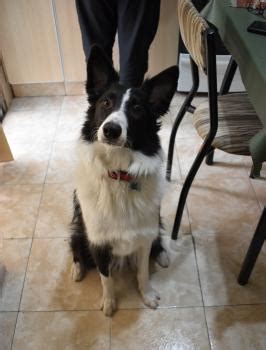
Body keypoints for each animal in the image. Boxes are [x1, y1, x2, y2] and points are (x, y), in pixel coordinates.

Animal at [70, 45, 179, 316]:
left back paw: (162, 255)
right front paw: (109, 303)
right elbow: (105, 277)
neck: (119, 174)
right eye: (106, 102)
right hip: (79, 228)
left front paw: (147, 295)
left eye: (137, 109)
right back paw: (77, 269)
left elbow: (142, 272)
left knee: (158, 239)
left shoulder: (143, 237)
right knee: (75, 245)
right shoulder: (97, 241)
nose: (111, 130)